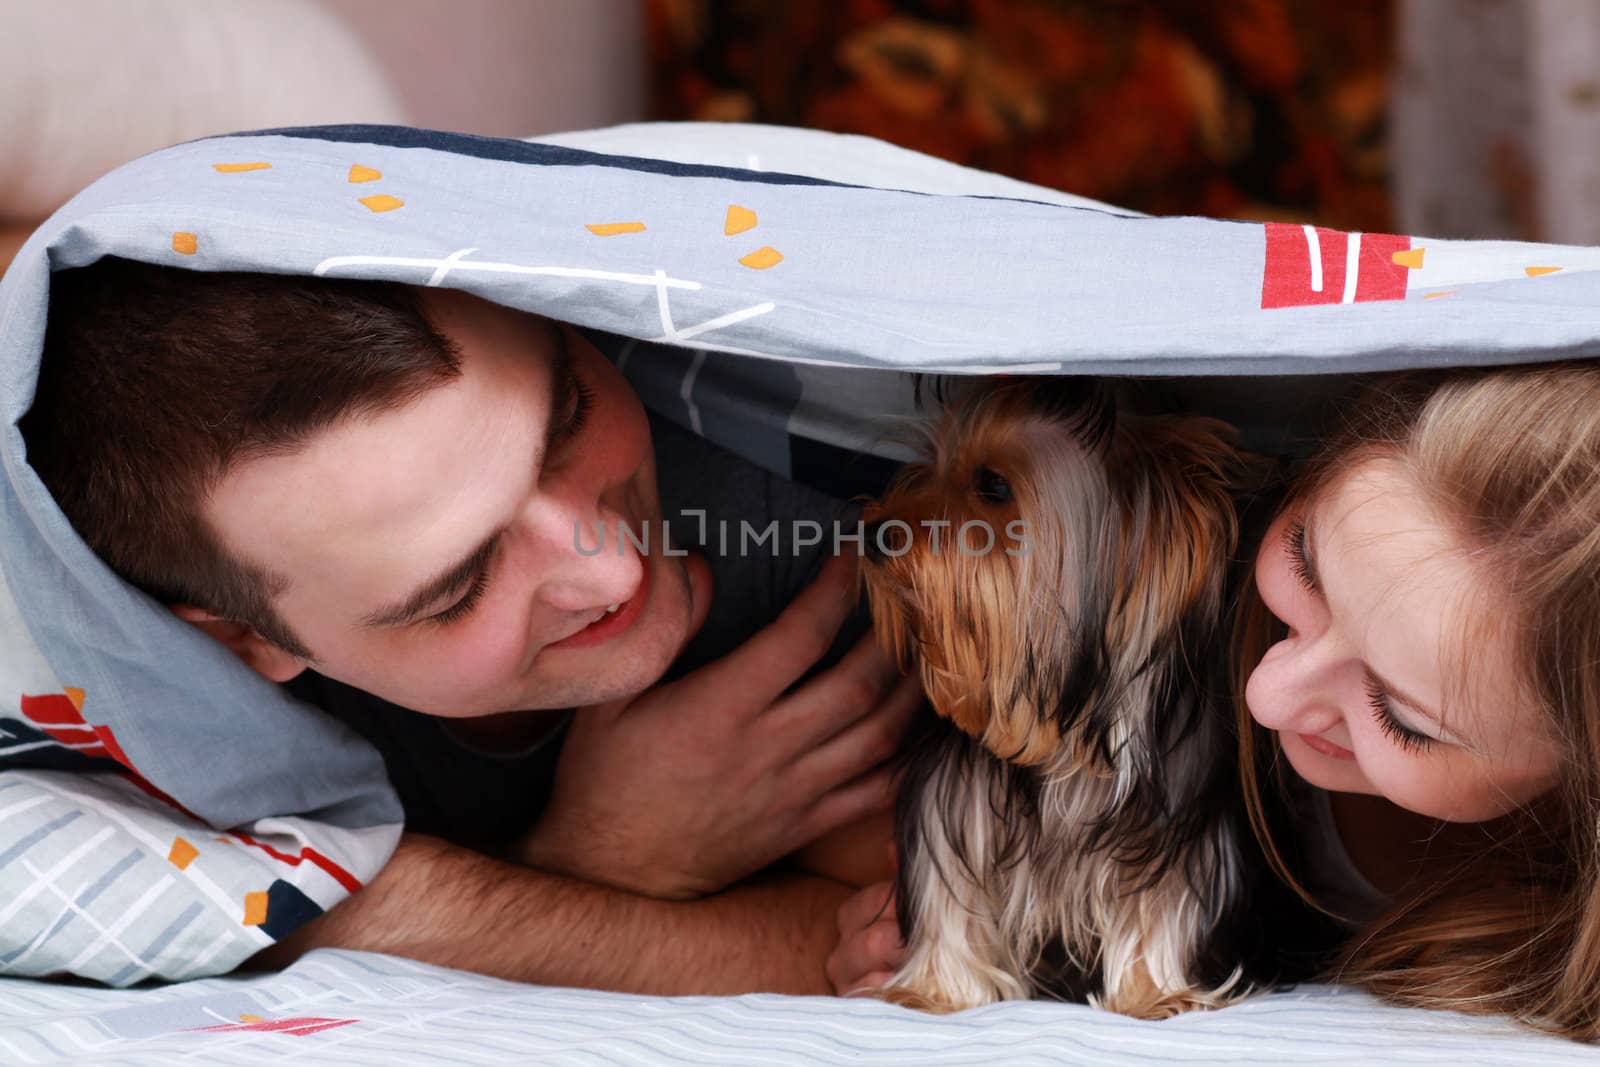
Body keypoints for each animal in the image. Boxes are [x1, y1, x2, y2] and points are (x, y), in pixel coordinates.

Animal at [864, 375, 1312, 1017]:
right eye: (929, 464)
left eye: (993, 485)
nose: (874, 532)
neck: (1064, 734)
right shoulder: (954, 799)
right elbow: (950, 894)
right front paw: (935, 990)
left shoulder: (1169, 819)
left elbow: (1160, 906)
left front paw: (1155, 993)